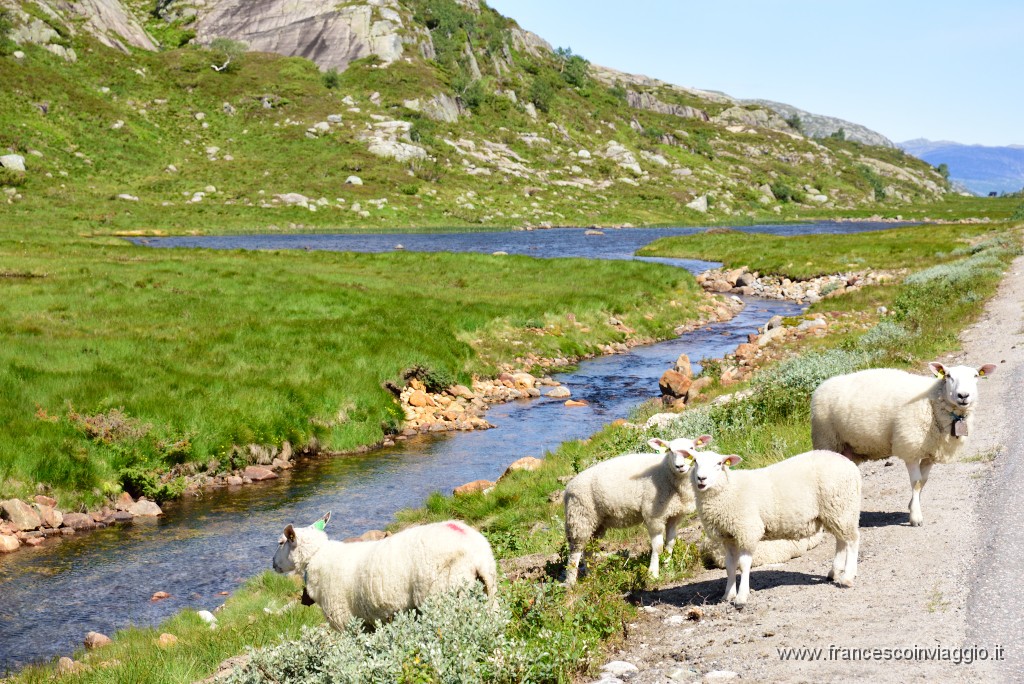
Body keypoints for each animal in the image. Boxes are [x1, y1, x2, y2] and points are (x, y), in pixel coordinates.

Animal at [272, 511, 495, 630]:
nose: (273, 564)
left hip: (441, 595)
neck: (317, 557)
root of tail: (478, 554)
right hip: (488, 590)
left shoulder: (343, 620)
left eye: (281, 542)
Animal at [561, 436, 712, 585]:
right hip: (580, 516)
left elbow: (670, 544)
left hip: (597, 522)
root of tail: (568, 488)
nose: (680, 466)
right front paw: (653, 574)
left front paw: (668, 567)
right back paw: (571, 583)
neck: (667, 473)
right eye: (669, 449)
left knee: (588, 550)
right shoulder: (654, 515)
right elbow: (658, 546)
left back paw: (591, 576)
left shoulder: (674, 515)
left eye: (691, 448)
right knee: (575, 551)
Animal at [684, 448, 860, 602]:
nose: (701, 478)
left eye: (719, 463)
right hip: (834, 512)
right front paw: (728, 595)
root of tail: (849, 464)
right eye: (695, 461)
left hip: (841, 506)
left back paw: (847, 578)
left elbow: (744, 564)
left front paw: (741, 597)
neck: (730, 489)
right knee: (841, 541)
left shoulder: (747, 530)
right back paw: (834, 572)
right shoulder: (728, 536)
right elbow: (730, 566)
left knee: (852, 540)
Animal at [806, 360, 991, 528]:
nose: (963, 396)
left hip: (848, 449)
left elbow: (923, 481)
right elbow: (916, 482)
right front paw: (916, 517)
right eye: (948, 376)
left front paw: (912, 506)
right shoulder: (910, 447)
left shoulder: (931, 451)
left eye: (975, 376)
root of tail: (822, 386)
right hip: (827, 440)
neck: (933, 402)